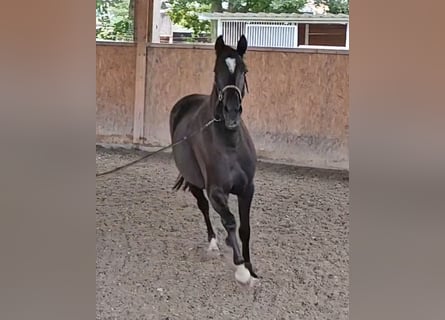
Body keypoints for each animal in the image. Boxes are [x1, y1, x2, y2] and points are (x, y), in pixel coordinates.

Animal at [167, 35, 256, 284]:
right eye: (216, 70)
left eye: (244, 70)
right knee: (204, 208)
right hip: (195, 184)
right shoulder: (216, 191)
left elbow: (244, 228)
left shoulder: (247, 189)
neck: (230, 145)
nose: (232, 112)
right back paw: (214, 243)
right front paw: (241, 269)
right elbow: (230, 221)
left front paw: (251, 268)